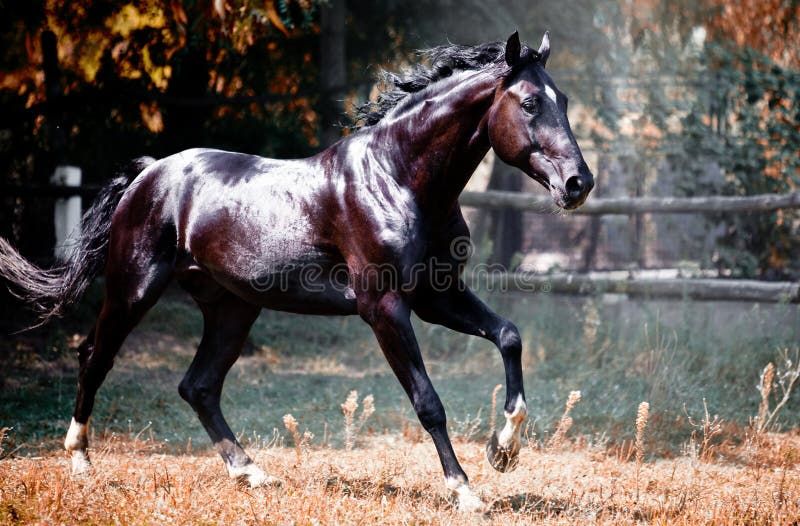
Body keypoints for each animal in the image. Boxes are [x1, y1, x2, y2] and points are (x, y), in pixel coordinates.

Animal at [0, 32, 592, 512]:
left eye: (563, 100)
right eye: (531, 102)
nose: (578, 184)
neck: (398, 177)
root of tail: (149, 174)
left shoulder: (436, 297)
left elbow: (509, 335)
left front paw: (504, 450)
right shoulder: (384, 309)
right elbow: (428, 403)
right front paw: (465, 491)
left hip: (233, 309)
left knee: (198, 386)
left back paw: (251, 473)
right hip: (133, 291)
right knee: (94, 357)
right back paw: (80, 460)